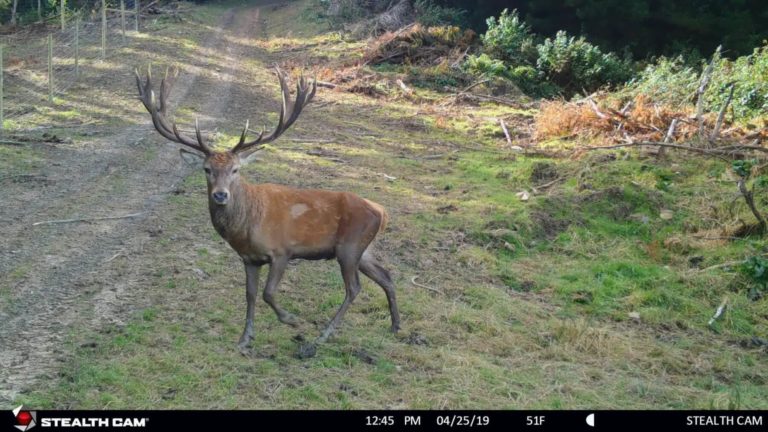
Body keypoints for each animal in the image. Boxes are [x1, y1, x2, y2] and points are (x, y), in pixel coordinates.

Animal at [135, 66, 400, 350]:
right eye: (207, 169)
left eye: (235, 169)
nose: (220, 194)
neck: (246, 227)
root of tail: (381, 211)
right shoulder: (249, 258)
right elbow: (250, 294)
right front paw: (244, 339)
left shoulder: (282, 250)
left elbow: (268, 293)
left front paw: (291, 320)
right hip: (363, 249)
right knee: (386, 275)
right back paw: (395, 326)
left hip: (349, 246)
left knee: (354, 288)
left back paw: (322, 335)